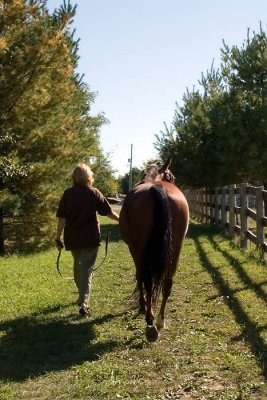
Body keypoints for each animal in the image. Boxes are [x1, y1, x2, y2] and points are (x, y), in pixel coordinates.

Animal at [119, 158, 191, 342]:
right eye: (172, 176)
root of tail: (157, 189)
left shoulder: (134, 249)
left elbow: (140, 277)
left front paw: (142, 305)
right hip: (175, 248)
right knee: (167, 282)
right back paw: (160, 321)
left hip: (140, 249)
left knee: (148, 281)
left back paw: (150, 323)